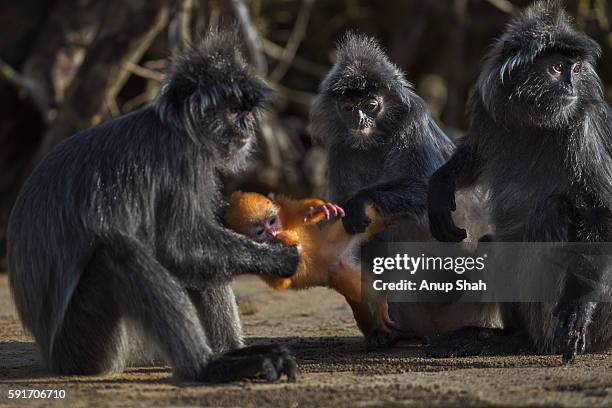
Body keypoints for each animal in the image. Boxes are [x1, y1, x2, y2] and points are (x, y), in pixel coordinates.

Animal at [227, 191, 394, 334]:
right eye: (260, 232)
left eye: (272, 221)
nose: (273, 233)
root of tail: (340, 255)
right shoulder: (255, 256)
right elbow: (281, 283)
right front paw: (286, 242)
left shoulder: (284, 210)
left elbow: (299, 210)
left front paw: (318, 209)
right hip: (339, 271)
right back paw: (379, 300)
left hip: (338, 235)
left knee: (364, 217)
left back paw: (385, 222)